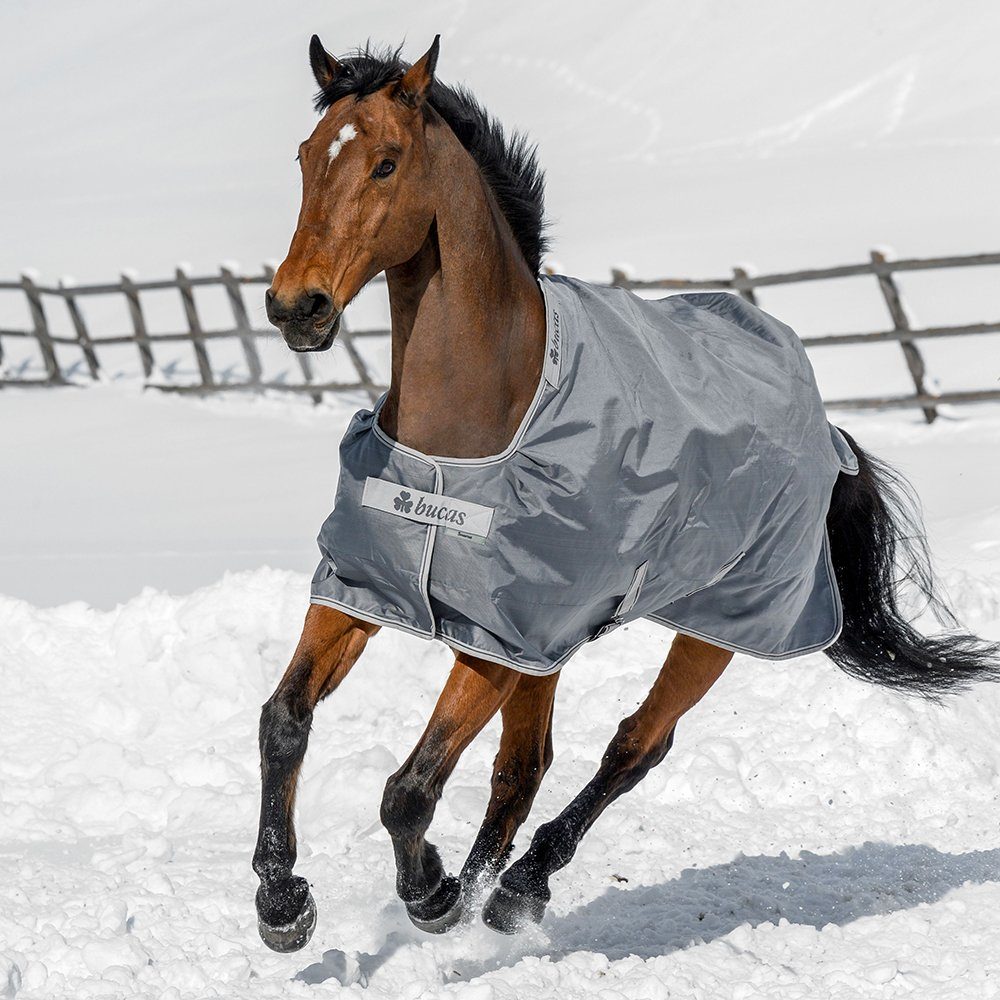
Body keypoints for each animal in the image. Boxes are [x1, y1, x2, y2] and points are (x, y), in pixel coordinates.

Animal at [252, 35, 1000, 952]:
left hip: (719, 626)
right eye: (304, 158)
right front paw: (283, 902)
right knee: (524, 766)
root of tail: (827, 429)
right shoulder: (371, 593)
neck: (468, 435)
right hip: (555, 643)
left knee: (635, 747)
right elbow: (284, 719)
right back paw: (484, 890)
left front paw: (427, 895)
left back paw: (514, 892)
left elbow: (411, 787)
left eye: (386, 162)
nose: (296, 306)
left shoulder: (495, 637)